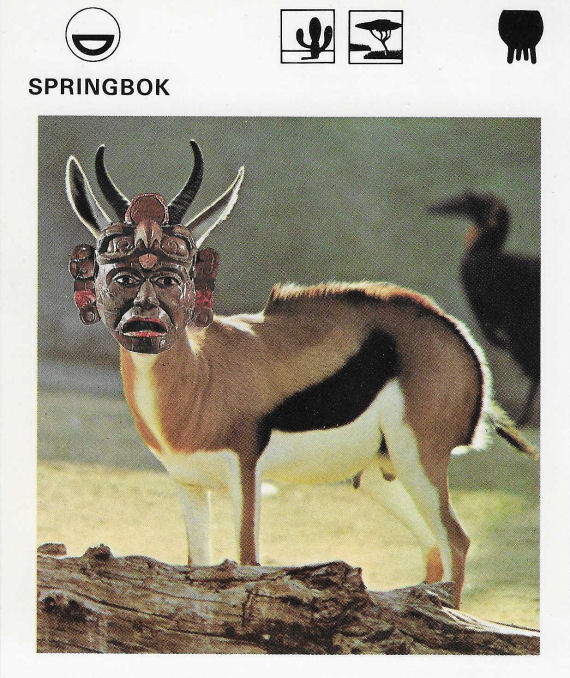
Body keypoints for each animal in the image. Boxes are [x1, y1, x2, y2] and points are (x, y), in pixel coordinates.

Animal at [66, 140, 537, 609]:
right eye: (119, 271)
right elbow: (195, 566)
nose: (146, 319)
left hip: (417, 460)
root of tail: (455, 335)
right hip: (378, 474)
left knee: (456, 541)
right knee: (434, 549)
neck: (199, 377)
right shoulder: (188, 484)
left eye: (175, 271)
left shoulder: (245, 475)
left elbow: (247, 559)